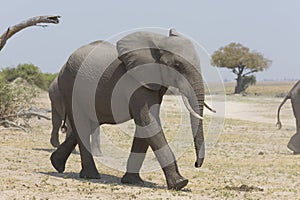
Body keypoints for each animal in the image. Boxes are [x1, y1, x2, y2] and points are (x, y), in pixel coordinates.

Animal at [49, 28, 213, 190]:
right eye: (177, 65)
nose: (196, 164)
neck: (157, 43)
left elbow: (145, 124)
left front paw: (133, 181)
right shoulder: (136, 83)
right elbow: (148, 121)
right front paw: (180, 183)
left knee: (88, 124)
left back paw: (56, 164)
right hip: (70, 87)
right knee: (81, 124)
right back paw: (91, 175)